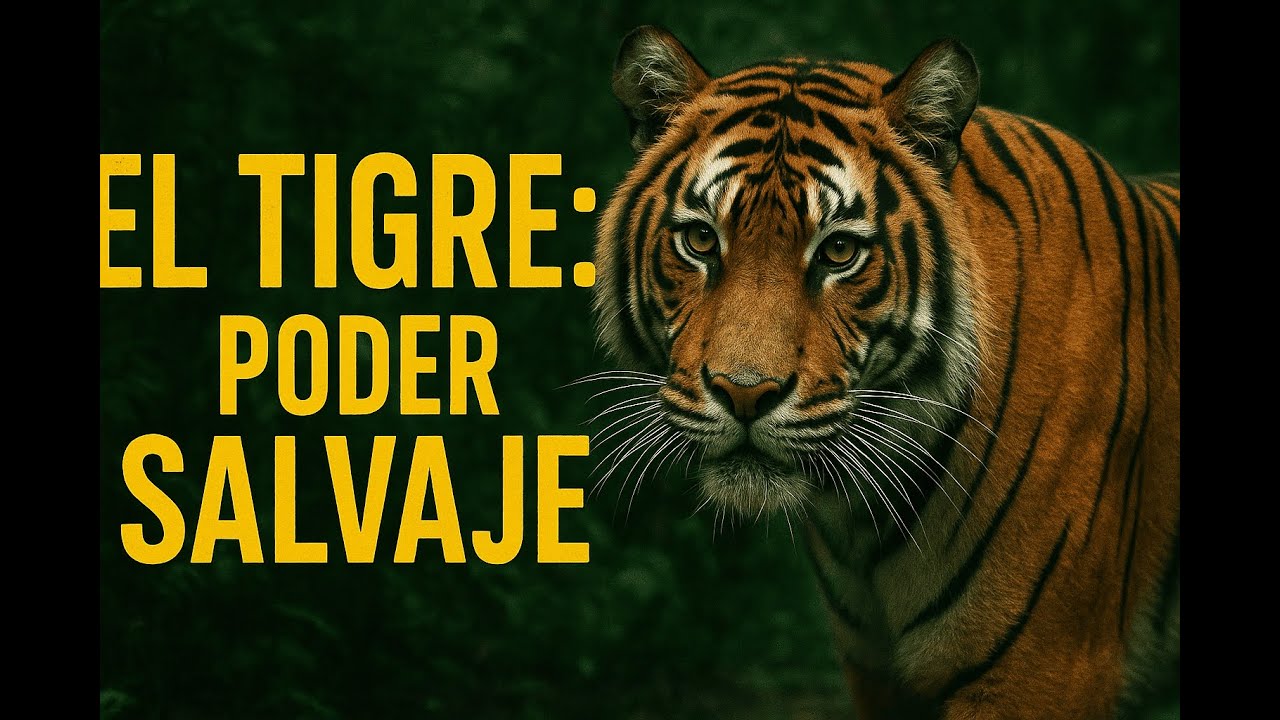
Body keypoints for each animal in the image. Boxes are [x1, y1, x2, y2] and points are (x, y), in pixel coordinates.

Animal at [588, 24, 1180, 720]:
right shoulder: (876, 673)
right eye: (701, 241)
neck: (861, 517)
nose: (745, 394)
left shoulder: (1043, 672)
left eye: (840, 251)